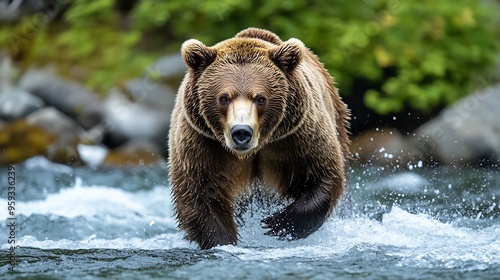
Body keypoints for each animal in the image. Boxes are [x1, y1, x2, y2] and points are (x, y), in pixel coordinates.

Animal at [168, 27, 348, 248]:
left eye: (261, 98)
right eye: (224, 98)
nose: (241, 132)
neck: (252, 150)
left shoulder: (298, 137)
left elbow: (323, 175)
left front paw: (276, 223)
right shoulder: (202, 143)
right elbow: (201, 194)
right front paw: (223, 242)